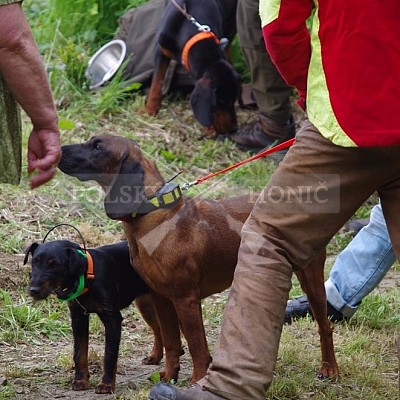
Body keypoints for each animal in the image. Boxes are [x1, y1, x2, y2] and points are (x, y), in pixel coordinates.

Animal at [25, 241, 162, 394]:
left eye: (54, 264)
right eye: (34, 261)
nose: (33, 290)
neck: (88, 276)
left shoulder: (112, 318)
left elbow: (109, 355)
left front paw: (106, 384)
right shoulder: (78, 318)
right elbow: (79, 353)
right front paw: (81, 380)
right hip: (146, 305)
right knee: (159, 329)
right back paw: (155, 356)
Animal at [57, 134, 340, 384]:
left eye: (97, 146)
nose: (58, 150)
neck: (154, 215)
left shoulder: (186, 300)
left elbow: (197, 347)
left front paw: (196, 380)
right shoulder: (160, 298)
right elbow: (172, 343)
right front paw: (169, 377)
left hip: (310, 279)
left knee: (324, 326)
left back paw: (329, 369)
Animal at [147, 0, 241, 135]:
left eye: (232, 100)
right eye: (220, 103)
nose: (234, 129)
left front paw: (208, 128)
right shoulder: (161, 50)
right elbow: (156, 83)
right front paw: (149, 110)